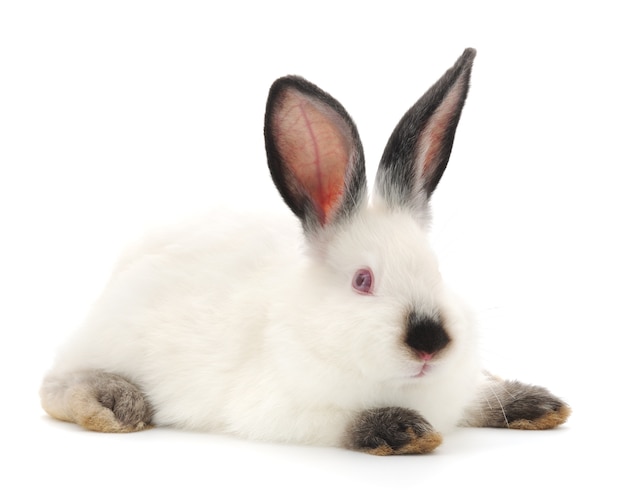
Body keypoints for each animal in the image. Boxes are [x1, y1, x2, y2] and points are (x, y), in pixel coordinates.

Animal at [39, 48, 564, 456]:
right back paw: (114, 404)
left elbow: (482, 395)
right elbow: (341, 423)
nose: (430, 342)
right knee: (53, 386)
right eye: (362, 281)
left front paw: (538, 404)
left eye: (436, 270)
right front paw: (404, 430)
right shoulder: (285, 412)